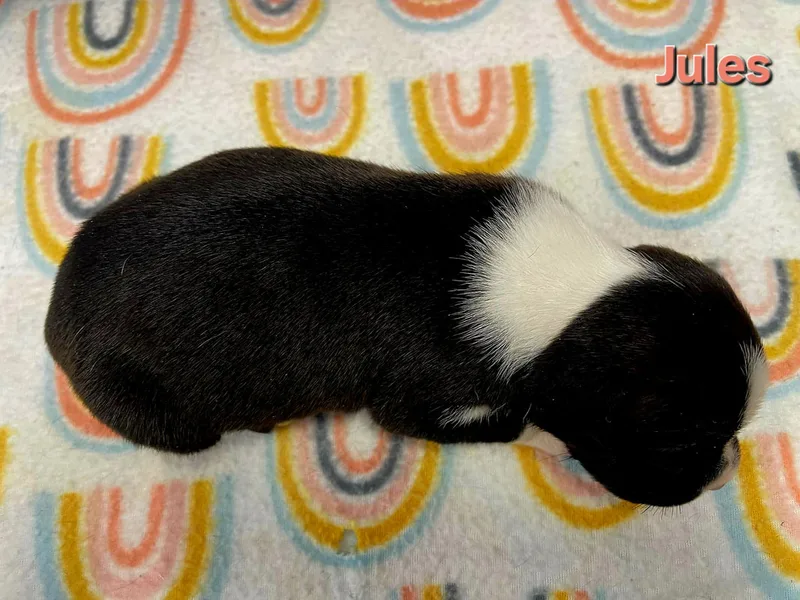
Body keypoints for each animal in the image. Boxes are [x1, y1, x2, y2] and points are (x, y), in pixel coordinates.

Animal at [45, 147, 768, 507]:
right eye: (680, 442)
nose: (730, 469)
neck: (572, 291)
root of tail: (55, 315)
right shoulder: (428, 400)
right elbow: (510, 419)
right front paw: (545, 437)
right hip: (157, 412)